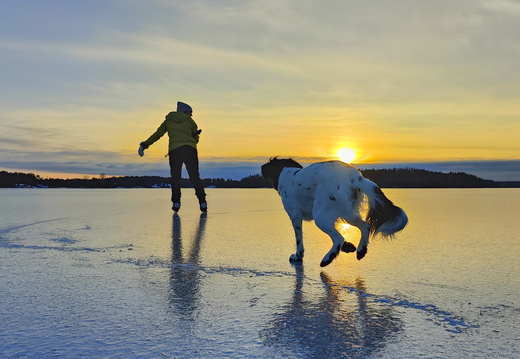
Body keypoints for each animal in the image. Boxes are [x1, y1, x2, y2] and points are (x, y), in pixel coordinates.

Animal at [262, 158, 408, 268]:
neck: (286, 174)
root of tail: (354, 177)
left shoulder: (295, 216)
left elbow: (299, 240)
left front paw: (297, 256)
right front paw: (349, 247)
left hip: (320, 215)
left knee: (338, 238)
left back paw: (327, 259)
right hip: (347, 213)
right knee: (365, 226)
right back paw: (360, 250)